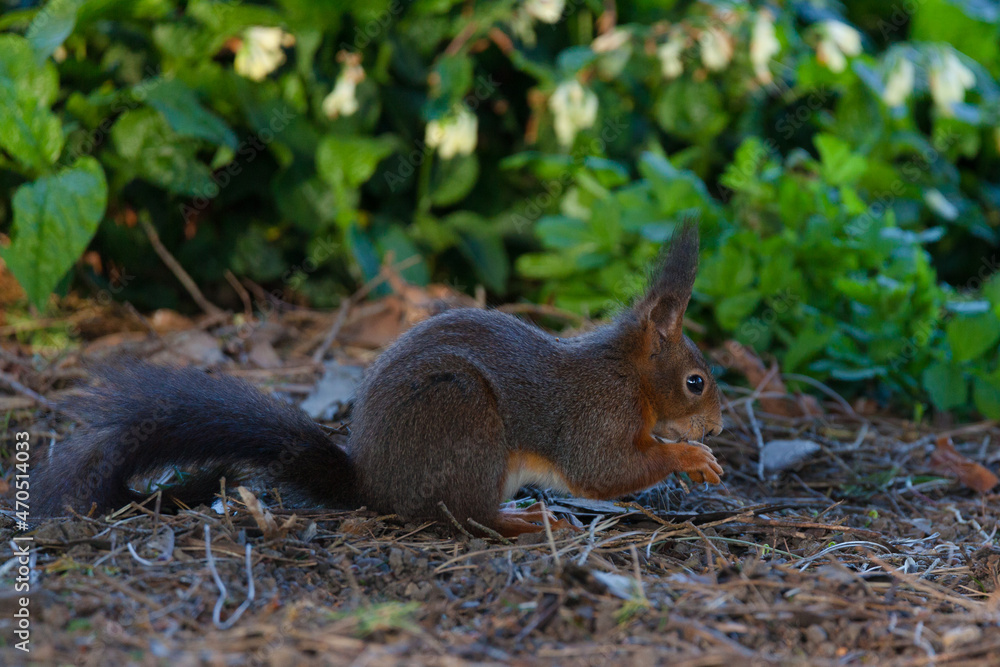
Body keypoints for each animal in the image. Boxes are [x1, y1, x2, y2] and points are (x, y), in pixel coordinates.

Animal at [33, 223, 724, 537]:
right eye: (696, 381)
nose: (718, 425)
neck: (628, 376)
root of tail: (374, 486)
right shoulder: (593, 416)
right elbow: (605, 469)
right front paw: (691, 456)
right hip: (463, 421)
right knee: (462, 516)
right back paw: (526, 523)